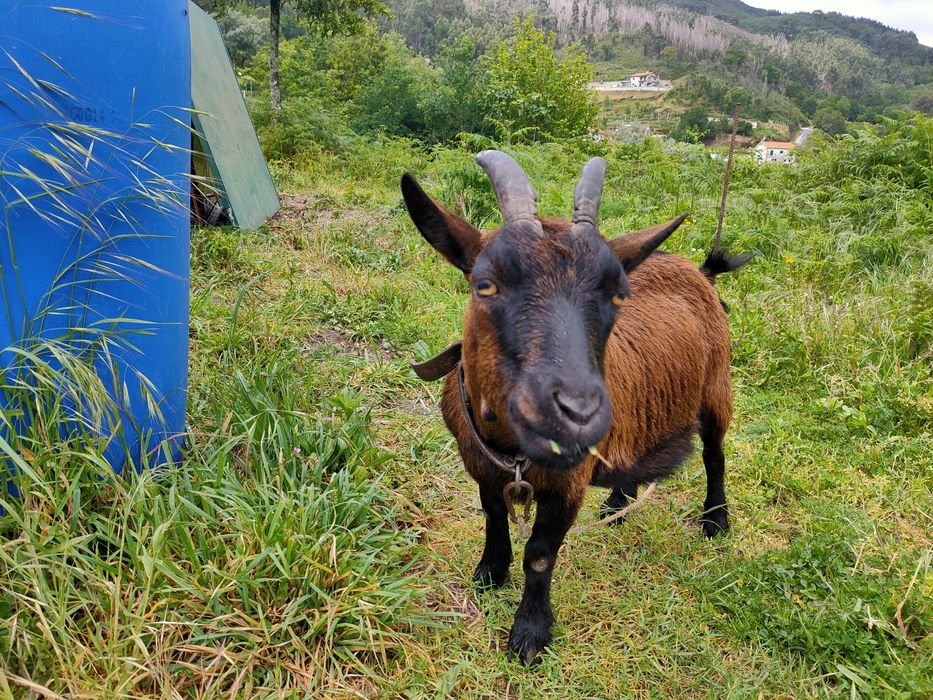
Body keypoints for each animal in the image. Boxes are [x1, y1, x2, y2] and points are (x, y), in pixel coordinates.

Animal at [402, 151, 751, 664]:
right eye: (485, 285)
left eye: (616, 294)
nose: (579, 411)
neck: (514, 450)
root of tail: (701, 271)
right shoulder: (480, 464)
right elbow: (492, 515)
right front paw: (490, 572)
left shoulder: (567, 487)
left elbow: (540, 553)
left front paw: (529, 634)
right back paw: (618, 503)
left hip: (716, 386)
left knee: (714, 454)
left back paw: (715, 520)